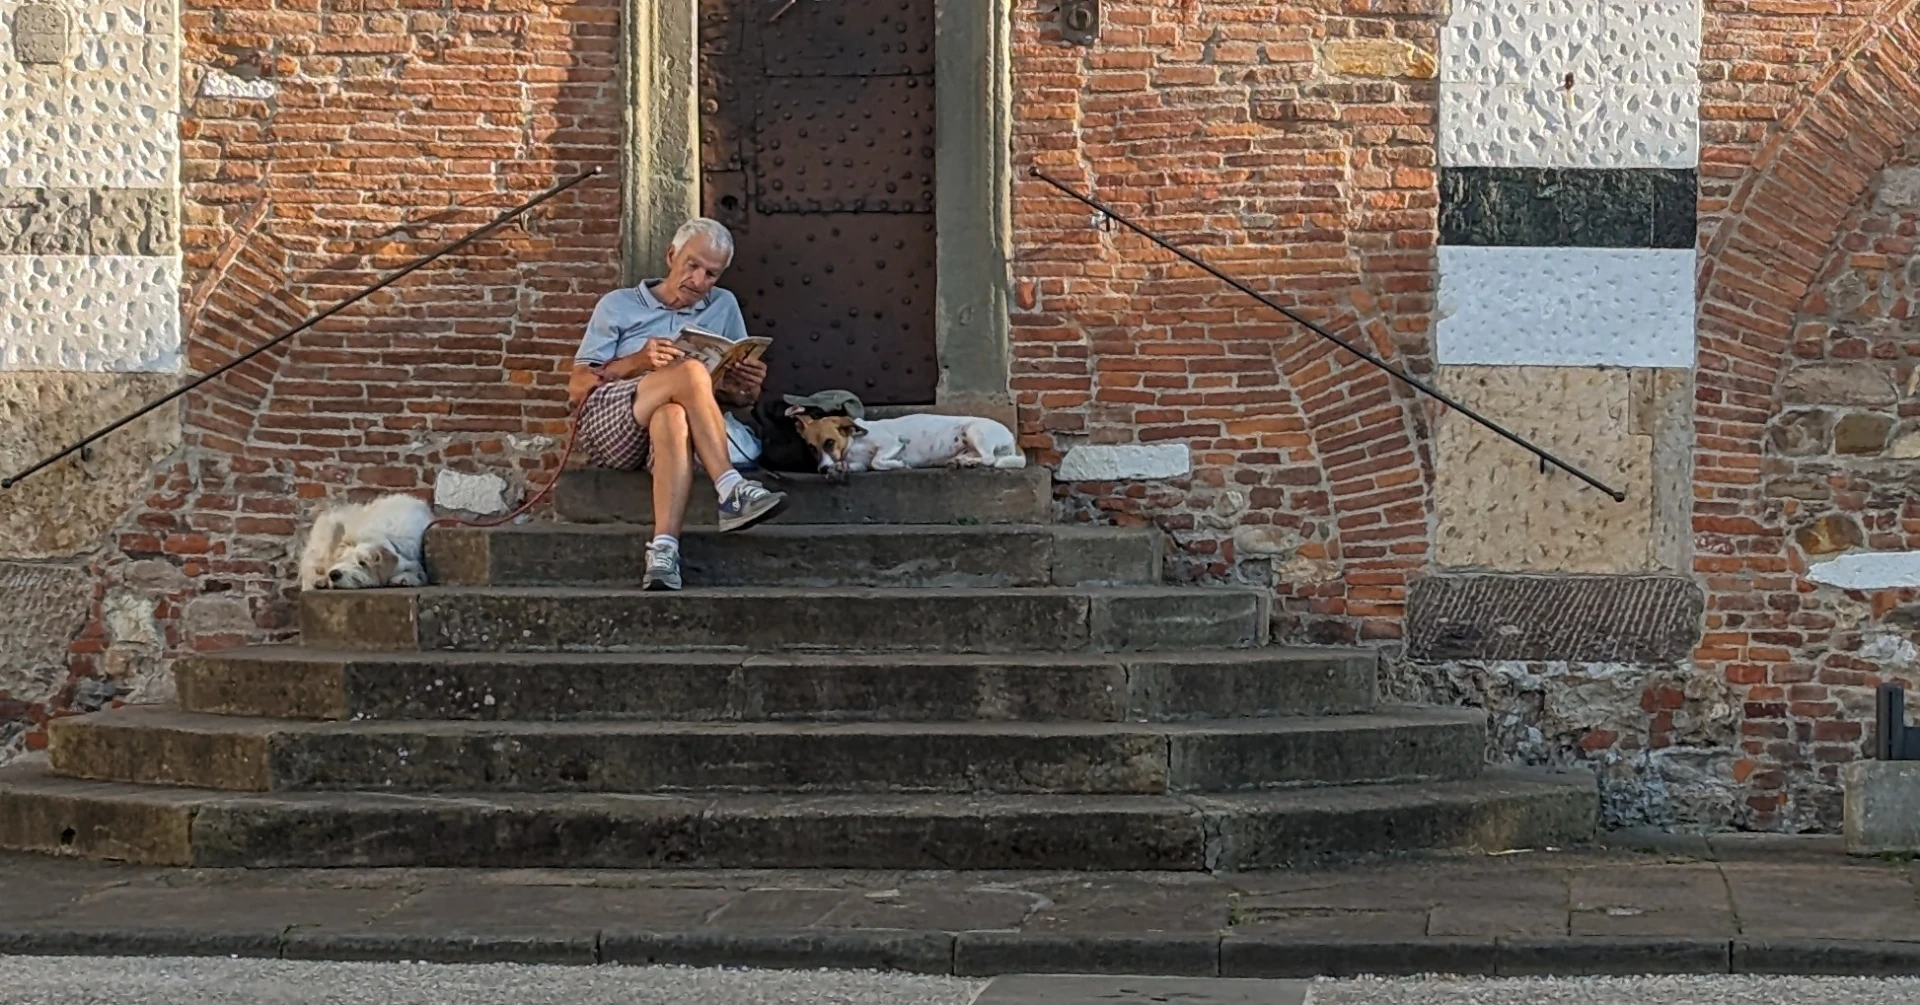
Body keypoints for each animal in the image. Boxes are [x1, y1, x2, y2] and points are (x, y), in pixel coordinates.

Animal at [787, 411, 1029, 486]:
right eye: (811, 447)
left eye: (829, 442)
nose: (822, 470)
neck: (853, 443)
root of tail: (1012, 439)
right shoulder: (859, 464)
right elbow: (858, 465)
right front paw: (837, 470)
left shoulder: (892, 443)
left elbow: (878, 461)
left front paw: (899, 464)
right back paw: (962, 461)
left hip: (974, 431)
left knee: (989, 459)